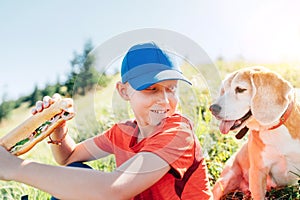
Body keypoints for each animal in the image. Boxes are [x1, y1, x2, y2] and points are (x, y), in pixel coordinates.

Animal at [210, 67, 298, 200]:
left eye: (240, 89)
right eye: (224, 90)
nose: (212, 108)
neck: (272, 128)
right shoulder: (258, 172)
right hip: (224, 181)